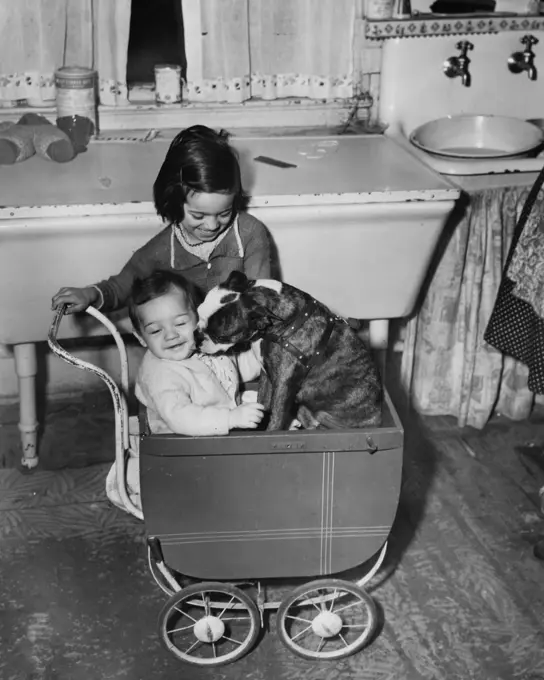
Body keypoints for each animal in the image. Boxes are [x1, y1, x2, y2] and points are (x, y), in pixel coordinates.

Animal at [196, 270, 382, 430]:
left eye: (220, 337)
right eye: (198, 313)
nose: (197, 336)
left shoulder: (283, 383)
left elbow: (276, 417)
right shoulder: (268, 375)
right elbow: (263, 401)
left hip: (327, 416)